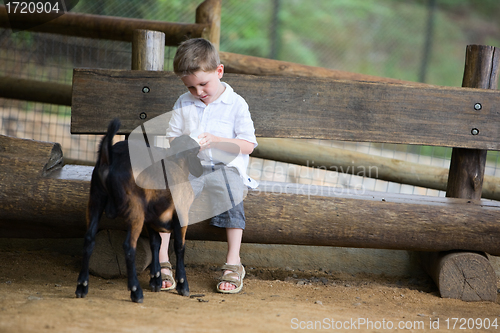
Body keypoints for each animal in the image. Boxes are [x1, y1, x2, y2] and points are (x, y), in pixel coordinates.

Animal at [75, 118, 200, 302]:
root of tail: (110, 157)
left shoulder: (151, 220)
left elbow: (156, 243)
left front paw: (156, 280)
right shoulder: (181, 214)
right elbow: (179, 246)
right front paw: (183, 285)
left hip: (95, 200)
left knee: (89, 239)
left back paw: (82, 287)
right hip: (135, 210)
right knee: (128, 246)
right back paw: (136, 291)